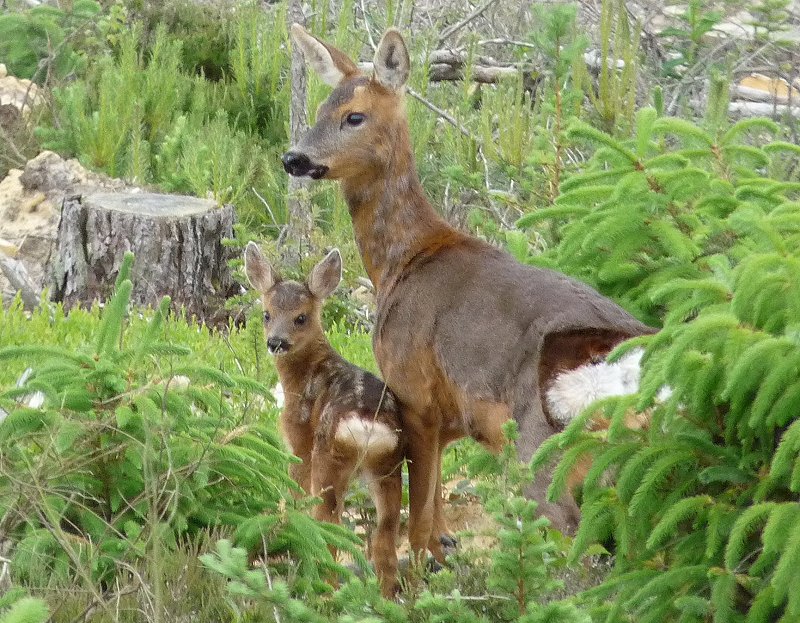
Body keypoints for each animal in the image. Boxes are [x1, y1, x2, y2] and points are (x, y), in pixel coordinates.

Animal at [242, 243, 406, 596]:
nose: (276, 342)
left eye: (301, 317)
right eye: (266, 314)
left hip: (328, 456)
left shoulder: (299, 439)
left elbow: (294, 490)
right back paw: (385, 596)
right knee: (386, 533)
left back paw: (322, 586)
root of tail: (367, 427)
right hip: (389, 467)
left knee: (329, 525)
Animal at [282, 25, 656, 560]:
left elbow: (416, 520)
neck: (403, 262)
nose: (293, 158)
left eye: (354, 115)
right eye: (318, 109)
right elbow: (436, 509)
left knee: (573, 533)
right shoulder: (452, 418)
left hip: (539, 442)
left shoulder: (412, 391)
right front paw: (444, 555)